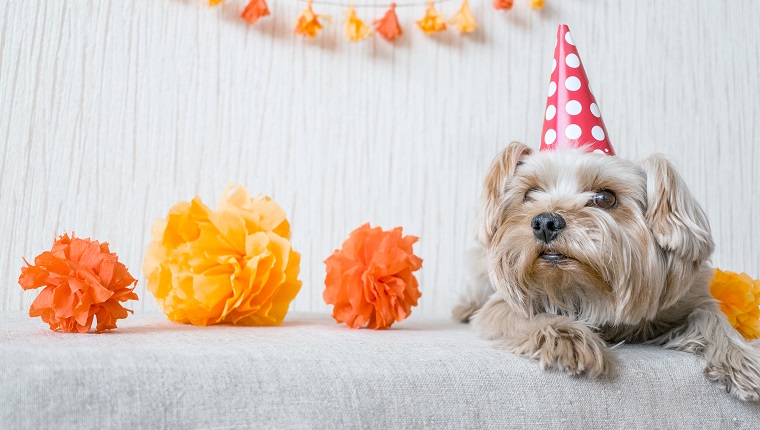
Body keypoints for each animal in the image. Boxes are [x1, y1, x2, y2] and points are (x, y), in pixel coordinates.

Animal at [454, 143, 756, 402]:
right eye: (529, 194)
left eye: (604, 198)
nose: (545, 222)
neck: (587, 290)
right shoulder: (499, 307)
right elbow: (529, 315)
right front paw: (568, 338)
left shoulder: (687, 299)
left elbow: (711, 316)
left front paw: (738, 359)